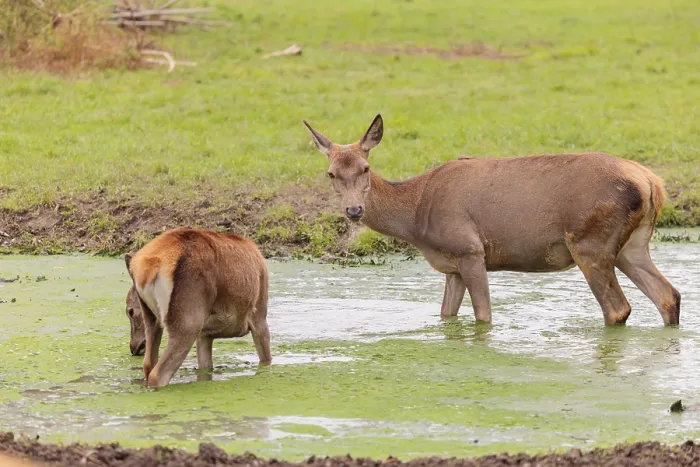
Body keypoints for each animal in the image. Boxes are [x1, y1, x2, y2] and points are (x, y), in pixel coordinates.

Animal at [124, 228, 271, 388]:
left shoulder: (204, 334)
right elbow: (266, 360)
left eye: (130, 311)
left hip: (152, 319)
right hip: (188, 320)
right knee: (158, 373)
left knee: (148, 364)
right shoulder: (259, 316)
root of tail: (149, 268)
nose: (134, 347)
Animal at [303, 115, 681, 327]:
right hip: (632, 245)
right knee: (669, 295)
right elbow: (446, 315)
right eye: (331, 173)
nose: (354, 211)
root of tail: (652, 182)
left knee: (618, 309)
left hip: (590, 243)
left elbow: (483, 316)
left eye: (365, 168)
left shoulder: (470, 250)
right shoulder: (452, 264)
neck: (415, 215)